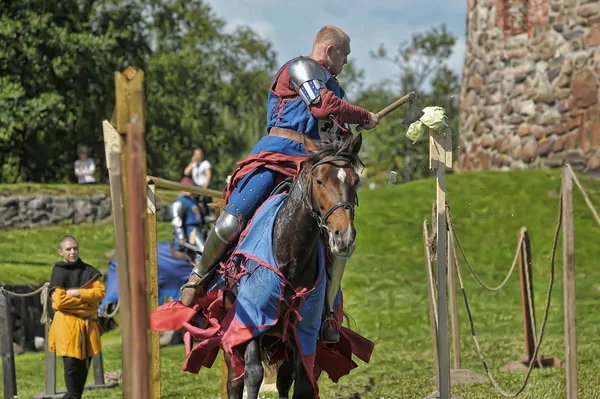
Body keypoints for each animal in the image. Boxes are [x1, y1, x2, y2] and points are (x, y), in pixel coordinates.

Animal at [223, 134, 364, 399]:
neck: (290, 255)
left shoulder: (303, 331)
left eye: (356, 181)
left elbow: (301, 384)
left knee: (283, 380)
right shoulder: (252, 321)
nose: (344, 237)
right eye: (319, 181)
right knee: (234, 380)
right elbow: (253, 374)